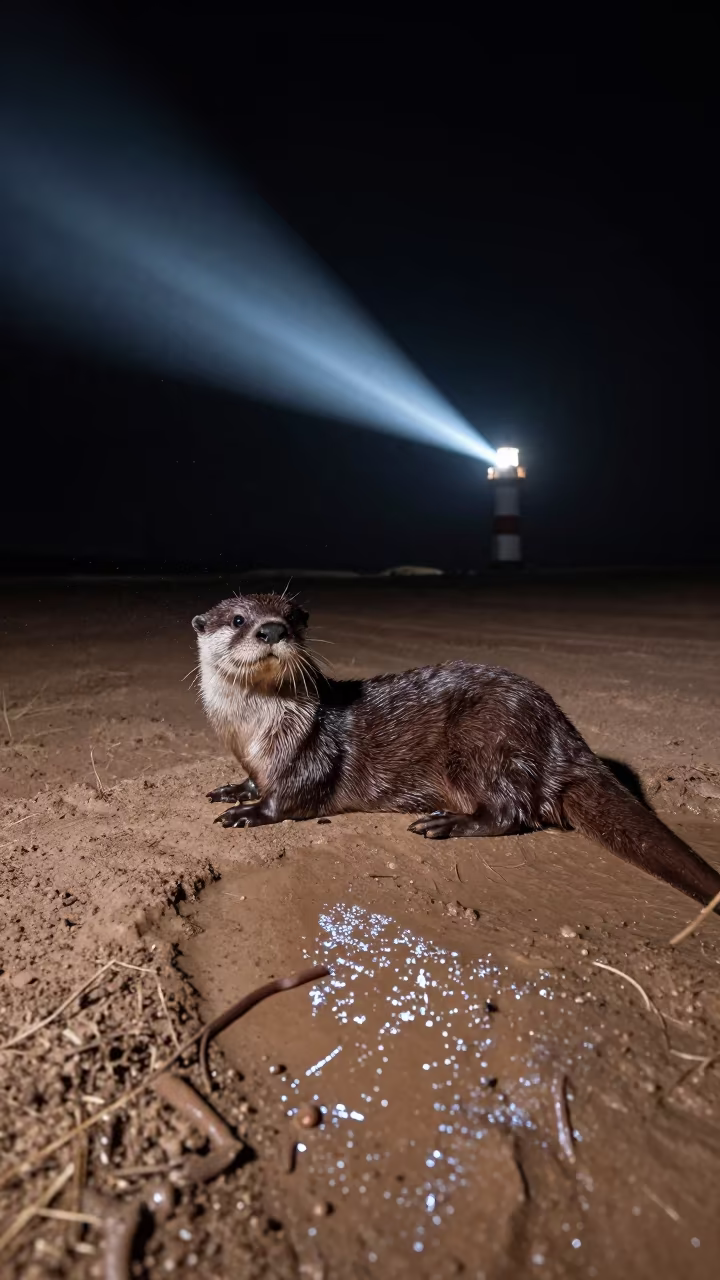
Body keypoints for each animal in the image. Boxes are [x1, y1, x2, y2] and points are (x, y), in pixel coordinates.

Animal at [192, 592, 720, 909]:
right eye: (238, 619)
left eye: (292, 619)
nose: (272, 630)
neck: (251, 733)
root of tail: (562, 734)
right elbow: (254, 780)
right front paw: (234, 790)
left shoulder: (312, 750)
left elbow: (292, 794)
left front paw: (249, 813)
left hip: (485, 744)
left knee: (511, 812)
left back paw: (445, 823)